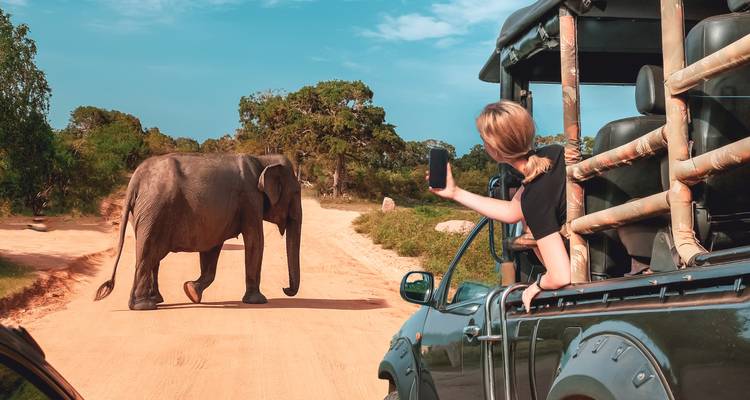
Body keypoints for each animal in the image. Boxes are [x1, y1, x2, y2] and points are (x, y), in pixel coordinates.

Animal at [93, 153, 302, 310]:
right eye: (296, 193)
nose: (285, 289)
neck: (264, 160)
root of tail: (135, 179)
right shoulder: (250, 199)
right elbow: (255, 240)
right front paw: (258, 301)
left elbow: (212, 248)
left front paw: (191, 291)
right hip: (154, 211)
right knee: (148, 253)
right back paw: (144, 306)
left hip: (144, 213)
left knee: (152, 256)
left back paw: (155, 300)